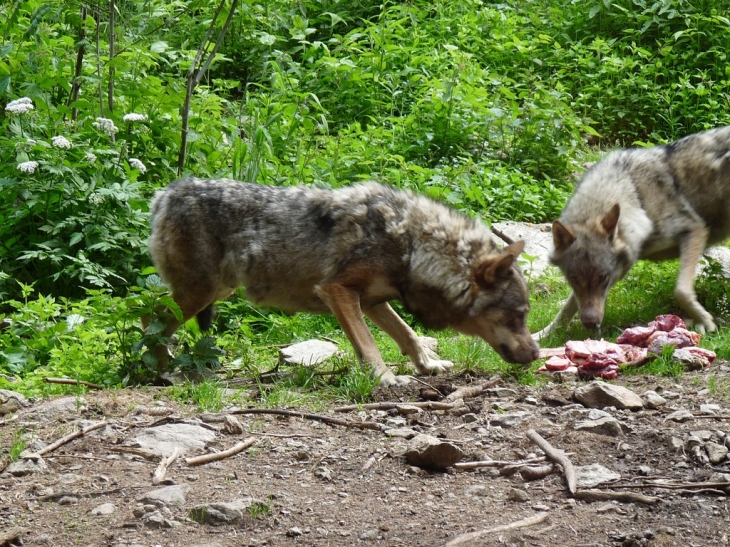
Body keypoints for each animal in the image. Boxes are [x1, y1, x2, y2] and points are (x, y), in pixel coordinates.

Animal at [148, 179, 536, 386]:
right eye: (518, 315)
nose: (535, 353)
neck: (413, 246)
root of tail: (168, 192)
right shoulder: (338, 291)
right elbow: (369, 344)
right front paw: (385, 379)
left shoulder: (373, 301)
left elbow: (407, 334)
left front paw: (429, 366)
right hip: (200, 292)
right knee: (149, 320)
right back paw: (162, 372)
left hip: (215, 291)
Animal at [532, 124, 728, 340]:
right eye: (574, 279)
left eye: (603, 278)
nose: (590, 324)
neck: (637, 195)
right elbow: (566, 308)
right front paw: (542, 335)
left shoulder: (694, 229)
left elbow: (681, 291)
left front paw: (706, 321)